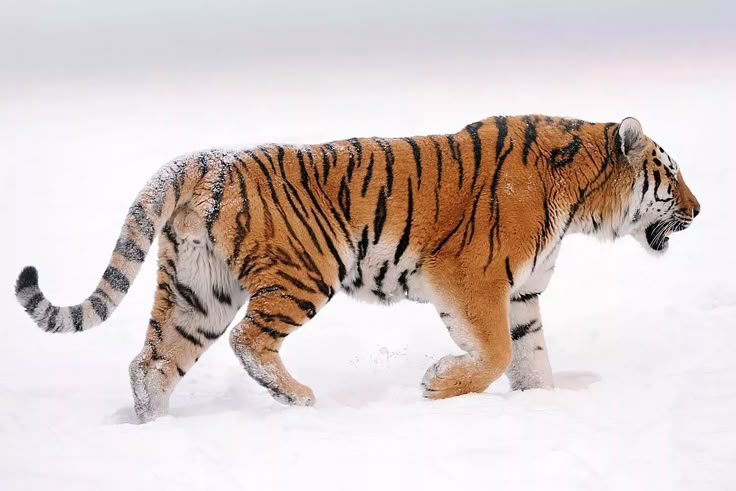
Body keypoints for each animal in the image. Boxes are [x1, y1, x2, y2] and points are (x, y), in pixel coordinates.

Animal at [14, 115, 700, 422]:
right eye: (669, 177)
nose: (698, 210)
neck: (579, 201)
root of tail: (202, 161)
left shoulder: (523, 297)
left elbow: (531, 360)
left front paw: (544, 406)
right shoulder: (473, 281)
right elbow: (497, 353)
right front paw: (438, 386)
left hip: (196, 292)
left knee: (151, 361)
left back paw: (151, 426)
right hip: (303, 273)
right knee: (249, 341)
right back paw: (299, 398)